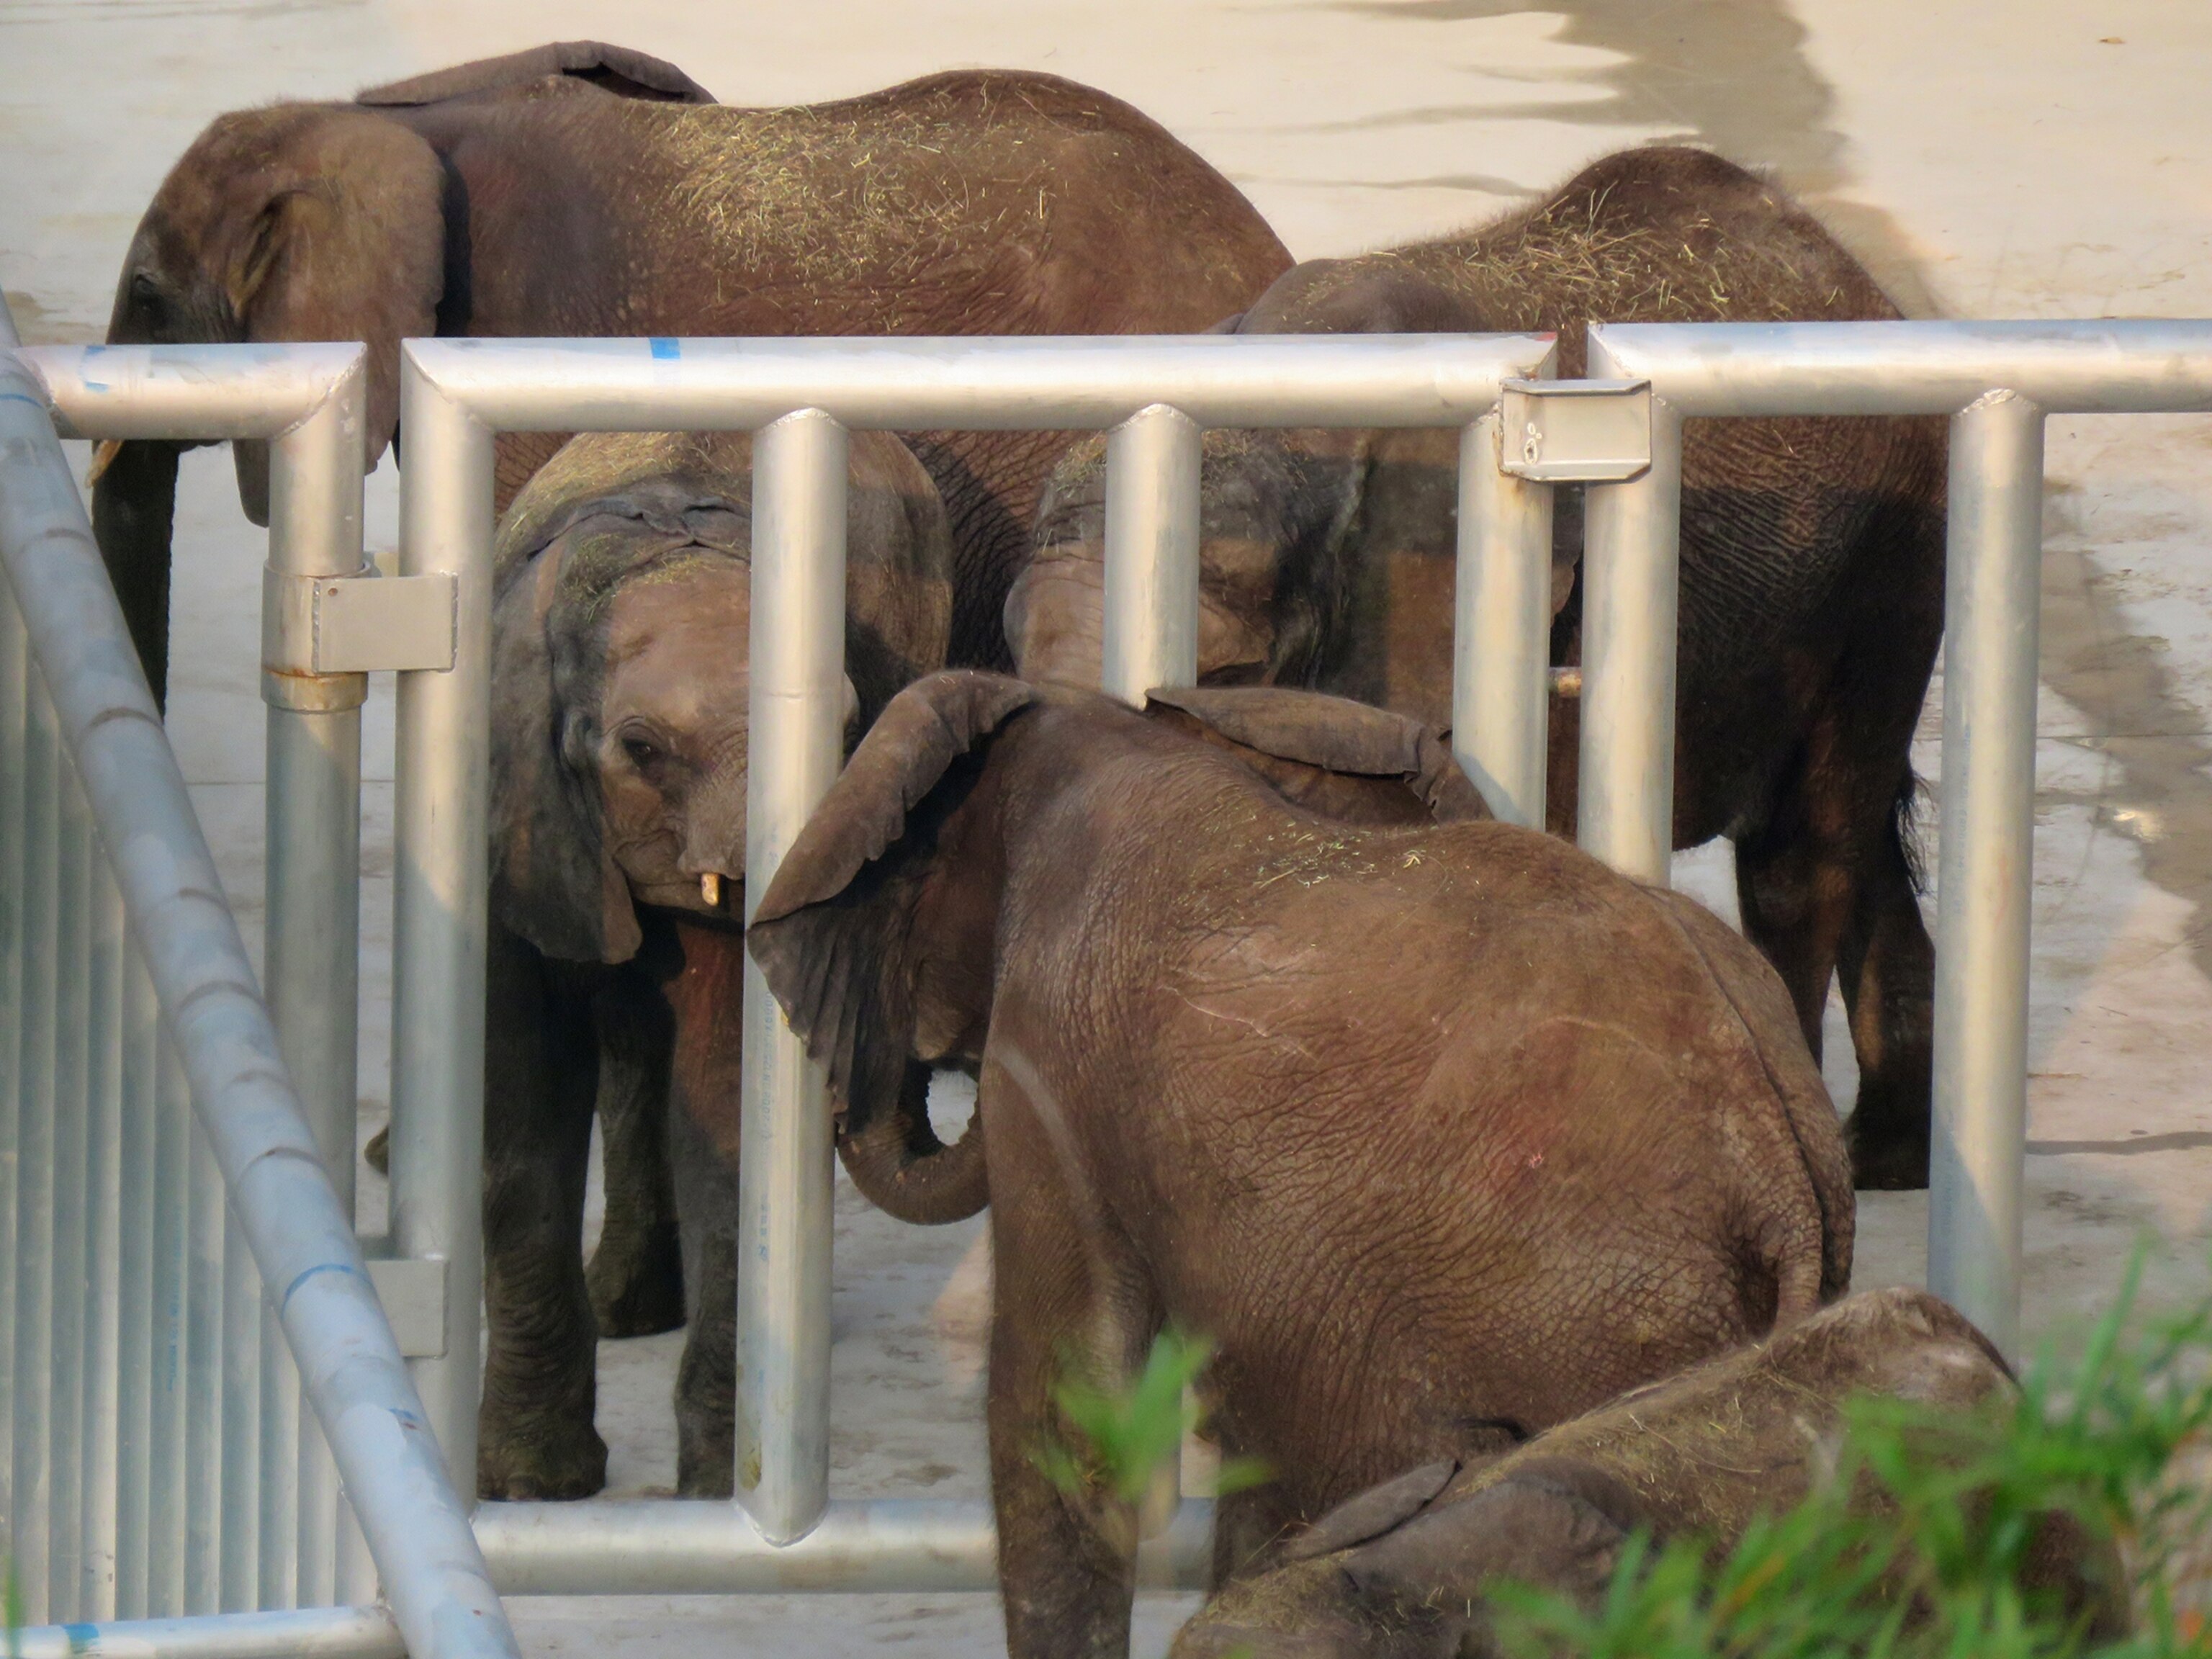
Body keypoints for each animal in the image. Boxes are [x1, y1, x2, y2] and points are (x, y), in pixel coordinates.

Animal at [476, 424, 952, 1498]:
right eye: (641, 747)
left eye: (849, 723)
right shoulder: (513, 819)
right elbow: (521, 1115)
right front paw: (533, 1486)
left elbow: (729, 1099)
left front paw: (713, 1491)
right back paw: (632, 1309)